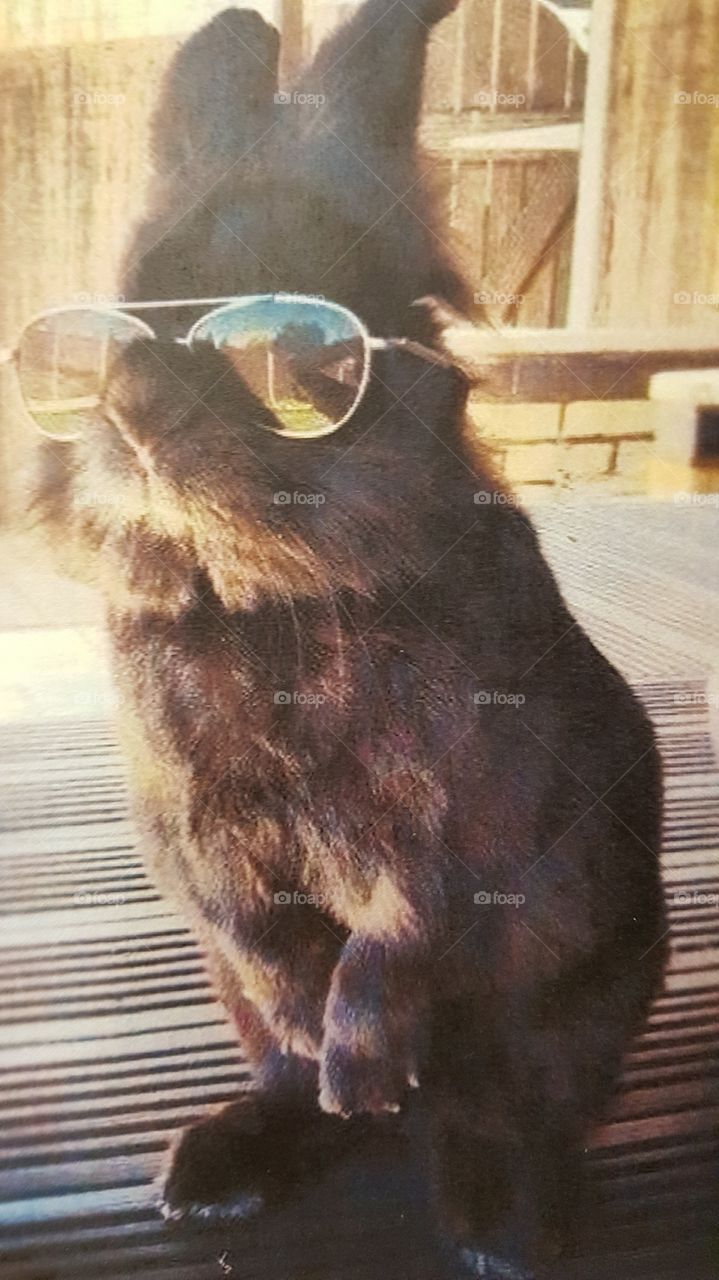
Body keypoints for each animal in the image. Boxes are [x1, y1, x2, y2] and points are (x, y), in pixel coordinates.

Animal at [30, 2, 667, 1276]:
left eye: (286, 331)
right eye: (125, 307)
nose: (132, 414)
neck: (263, 599)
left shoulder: (456, 826)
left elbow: (394, 940)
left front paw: (363, 1066)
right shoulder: (199, 836)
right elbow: (270, 944)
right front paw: (316, 1034)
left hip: (566, 1009)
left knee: (489, 1106)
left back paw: (496, 1219)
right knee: (290, 1080)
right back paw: (222, 1168)